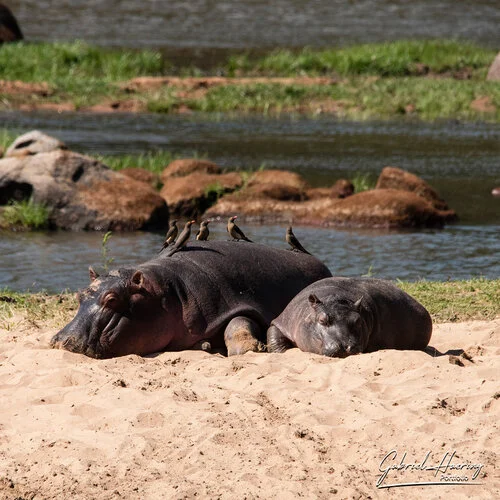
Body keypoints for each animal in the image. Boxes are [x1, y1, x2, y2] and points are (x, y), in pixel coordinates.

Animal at [50, 240, 332, 358]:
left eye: (111, 299)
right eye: (79, 295)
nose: (63, 340)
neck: (166, 293)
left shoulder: (232, 302)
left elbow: (238, 323)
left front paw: (248, 349)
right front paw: (206, 346)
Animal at [268, 276, 432, 358]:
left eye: (357, 321)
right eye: (322, 320)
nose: (344, 345)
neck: (335, 297)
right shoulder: (284, 321)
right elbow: (273, 334)